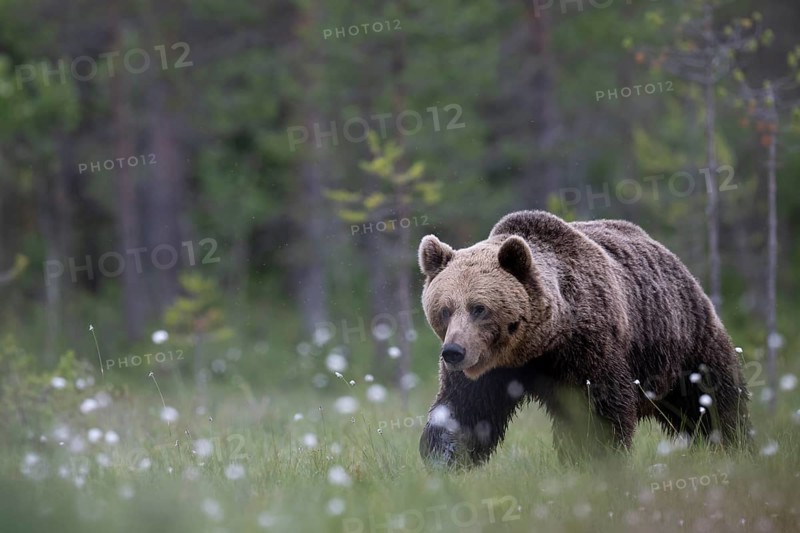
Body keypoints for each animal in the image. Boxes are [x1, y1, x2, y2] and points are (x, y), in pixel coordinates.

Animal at [417, 210, 751, 468]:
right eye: (445, 310)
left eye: (479, 308)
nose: (453, 352)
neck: (536, 347)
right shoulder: (490, 369)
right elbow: (464, 408)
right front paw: (444, 457)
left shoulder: (585, 345)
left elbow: (599, 404)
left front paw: (592, 455)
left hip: (682, 340)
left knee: (709, 397)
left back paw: (730, 442)